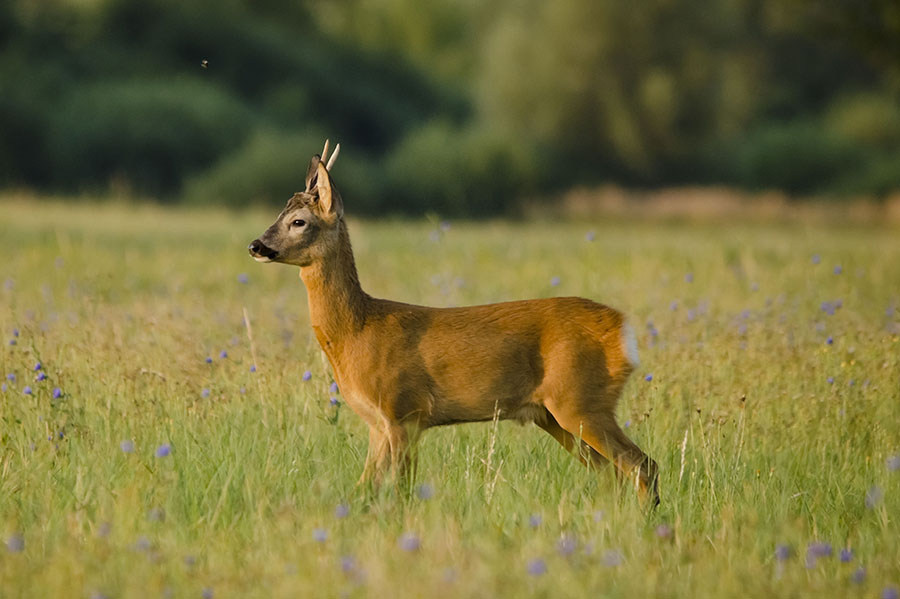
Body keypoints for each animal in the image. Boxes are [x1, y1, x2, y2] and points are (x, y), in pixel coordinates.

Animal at [248, 141, 660, 506]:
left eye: (298, 221)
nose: (256, 246)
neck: (356, 332)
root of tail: (622, 329)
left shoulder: (404, 411)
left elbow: (401, 493)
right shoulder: (378, 425)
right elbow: (363, 491)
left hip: (581, 402)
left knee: (643, 465)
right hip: (555, 416)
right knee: (614, 475)